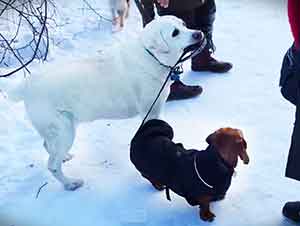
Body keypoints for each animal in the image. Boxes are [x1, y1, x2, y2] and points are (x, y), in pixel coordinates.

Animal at [0, 15, 204, 190]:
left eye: (184, 24)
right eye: (175, 33)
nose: (199, 33)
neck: (151, 56)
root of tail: (27, 86)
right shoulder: (151, 111)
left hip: (60, 129)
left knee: (48, 146)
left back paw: (65, 157)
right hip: (64, 130)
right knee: (52, 165)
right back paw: (70, 183)